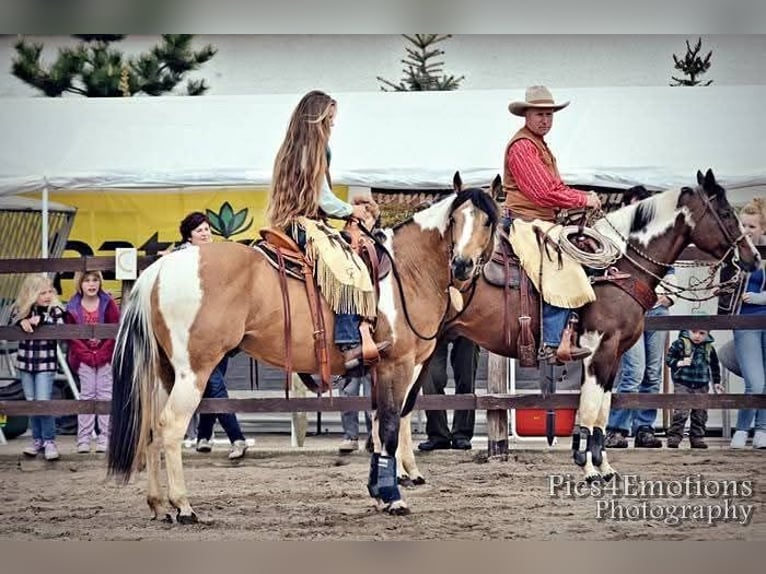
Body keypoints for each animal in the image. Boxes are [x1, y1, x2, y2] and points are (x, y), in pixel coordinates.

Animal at [109, 173, 504, 524]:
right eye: (455, 219)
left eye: (488, 220)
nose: (462, 265)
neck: (408, 270)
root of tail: (158, 270)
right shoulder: (399, 365)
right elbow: (391, 426)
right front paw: (394, 498)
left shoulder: (380, 370)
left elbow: (378, 429)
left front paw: (379, 493)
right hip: (194, 371)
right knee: (170, 427)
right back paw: (183, 506)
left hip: (166, 372)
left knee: (150, 428)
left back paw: (159, 505)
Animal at [396, 169, 760, 488]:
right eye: (726, 213)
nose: (754, 258)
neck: (618, 268)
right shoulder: (600, 350)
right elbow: (589, 409)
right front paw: (589, 469)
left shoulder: (612, 356)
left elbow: (601, 411)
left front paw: (604, 467)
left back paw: (409, 472)